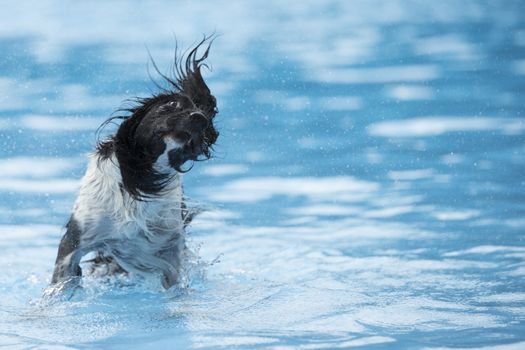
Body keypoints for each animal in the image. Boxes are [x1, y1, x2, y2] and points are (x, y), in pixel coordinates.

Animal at [50, 37, 218, 292]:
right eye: (172, 104)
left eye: (205, 118)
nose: (199, 118)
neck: (142, 181)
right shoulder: (75, 240)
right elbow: (62, 280)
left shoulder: (167, 252)